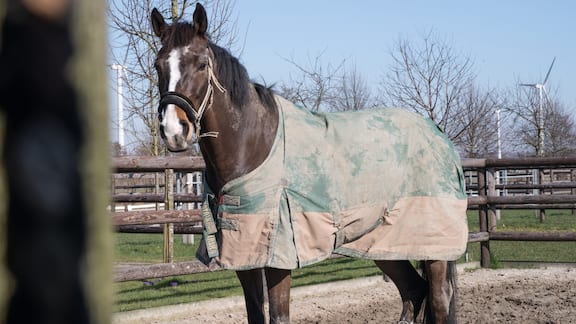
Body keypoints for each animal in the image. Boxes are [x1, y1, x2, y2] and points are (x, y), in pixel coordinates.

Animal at [150, 3, 468, 322]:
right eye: (158, 65)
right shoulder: (245, 257)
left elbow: (279, 316)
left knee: (438, 299)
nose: (174, 130)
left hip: (436, 246)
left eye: (202, 64)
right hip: (383, 243)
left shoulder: (279, 259)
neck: (253, 146)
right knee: (412, 292)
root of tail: (438, 134)